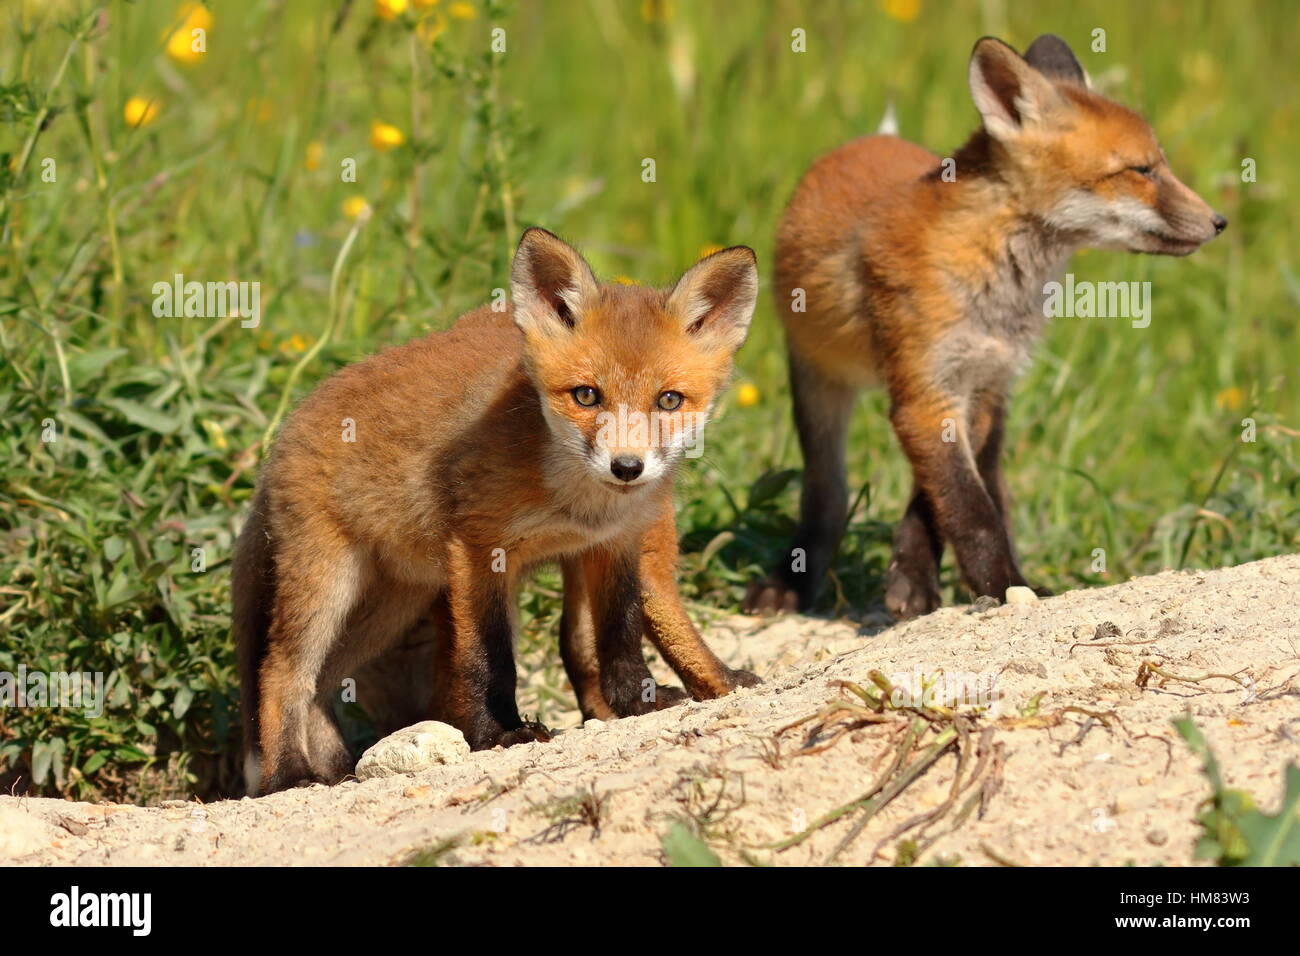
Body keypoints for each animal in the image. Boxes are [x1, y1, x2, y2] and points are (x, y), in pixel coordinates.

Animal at [237, 227, 759, 796]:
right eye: (586, 395)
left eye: (668, 400)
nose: (627, 467)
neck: (577, 504)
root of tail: (287, 424)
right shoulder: (477, 548)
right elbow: (487, 659)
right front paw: (499, 734)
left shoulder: (614, 544)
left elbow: (620, 636)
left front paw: (636, 702)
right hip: (328, 584)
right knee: (283, 671)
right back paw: (289, 774)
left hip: (394, 599)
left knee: (324, 681)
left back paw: (337, 770)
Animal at [748, 33, 1222, 621]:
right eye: (1143, 170)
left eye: (1160, 165)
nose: (1219, 221)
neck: (993, 276)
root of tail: (866, 141)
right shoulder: (926, 391)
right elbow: (967, 509)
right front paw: (1000, 585)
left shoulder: (975, 386)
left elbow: (942, 501)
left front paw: (920, 579)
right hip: (818, 384)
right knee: (827, 494)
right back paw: (792, 583)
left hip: (996, 397)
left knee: (992, 483)